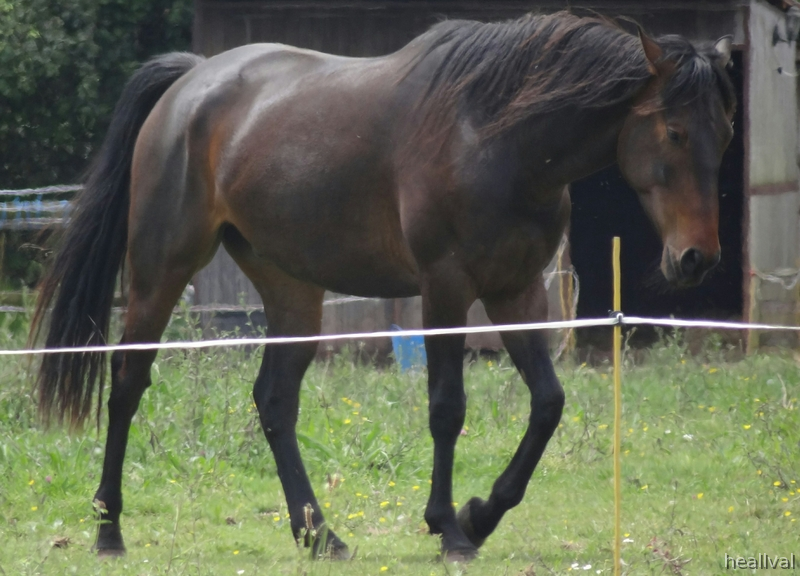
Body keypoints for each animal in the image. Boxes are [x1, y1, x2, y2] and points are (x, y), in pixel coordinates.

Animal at [31, 11, 735, 561]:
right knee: (127, 383)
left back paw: (319, 536)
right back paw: (109, 530)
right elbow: (447, 407)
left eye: (723, 134)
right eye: (675, 132)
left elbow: (548, 403)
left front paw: (482, 514)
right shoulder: (446, 287)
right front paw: (449, 528)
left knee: (274, 401)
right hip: (163, 269)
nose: (697, 258)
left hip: (292, 288)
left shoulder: (517, 290)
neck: (497, 137)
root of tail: (190, 82)